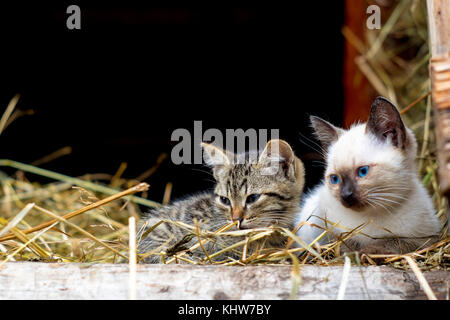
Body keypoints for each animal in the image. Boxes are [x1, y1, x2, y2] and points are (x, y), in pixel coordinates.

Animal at [294, 96, 442, 254]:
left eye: (363, 171)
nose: (345, 195)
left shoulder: (424, 239)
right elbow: (343, 243)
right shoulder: (326, 227)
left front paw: (367, 252)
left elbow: (391, 243)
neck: (370, 217)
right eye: (335, 179)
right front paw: (353, 252)